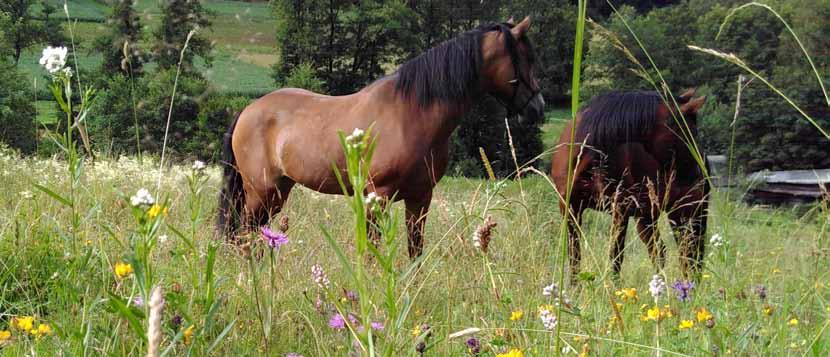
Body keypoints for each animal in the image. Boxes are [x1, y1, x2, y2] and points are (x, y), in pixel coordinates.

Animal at [218, 16, 548, 258]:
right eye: (527, 58)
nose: (538, 108)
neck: (411, 115)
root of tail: (248, 109)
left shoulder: (420, 198)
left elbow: (415, 251)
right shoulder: (379, 196)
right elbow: (372, 252)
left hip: (277, 192)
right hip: (260, 191)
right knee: (243, 234)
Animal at [552, 89, 708, 280]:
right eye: (689, 133)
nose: (699, 173)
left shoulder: (620, 209)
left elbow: (615, 256)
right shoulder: (570, 208)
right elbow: (574, 256)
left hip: (682, 214)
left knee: (688, 254)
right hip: (650, 215)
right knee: (663, 252)